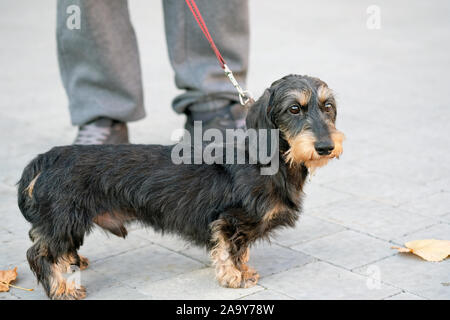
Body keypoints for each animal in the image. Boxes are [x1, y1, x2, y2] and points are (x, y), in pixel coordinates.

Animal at [15, 74, 342, 298]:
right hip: (65, 219)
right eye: (294, 109)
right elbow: (231, 251)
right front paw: (234, 277)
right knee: (40, 255)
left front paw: (245, 270)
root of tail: (48, 158)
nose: (326, 147)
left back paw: (73, 262)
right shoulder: (229, 220)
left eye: (328, 106)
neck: (270, 159)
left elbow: (243, 251)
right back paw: (63, 288)